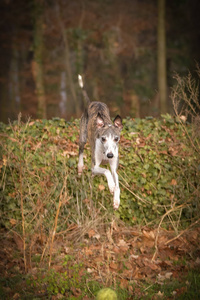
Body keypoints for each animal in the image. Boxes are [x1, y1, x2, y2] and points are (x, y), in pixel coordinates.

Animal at [77, 75, 122, 210]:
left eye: (116, 138)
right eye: (103, 138)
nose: (110, 155)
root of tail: (92, 102)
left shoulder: (114, 167)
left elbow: (116, 180)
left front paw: (116, 200)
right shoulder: (95, 166)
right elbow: (105, 171)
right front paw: (111, 186)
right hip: (83, 135)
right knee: (80, 149)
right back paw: (80, 167)